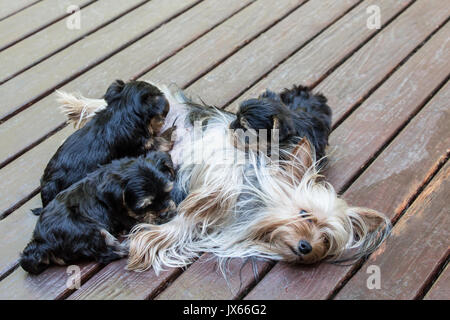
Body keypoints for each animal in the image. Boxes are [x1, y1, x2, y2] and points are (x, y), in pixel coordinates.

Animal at [20, 151, 176, 274]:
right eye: (143, 206)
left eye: (167, 193)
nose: (165, 214)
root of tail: (41, 242)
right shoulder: (124, 215)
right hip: (85, 229)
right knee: (107, 251)